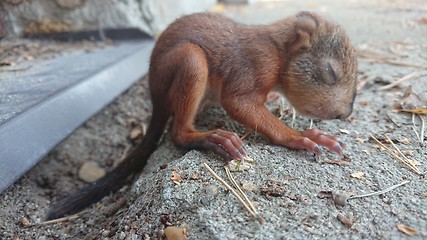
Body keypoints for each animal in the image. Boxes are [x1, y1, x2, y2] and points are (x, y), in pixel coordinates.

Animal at [46, 11, 360, 219]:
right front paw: (303, 136)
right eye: (329, 72)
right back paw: (212, 138)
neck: (278, 49)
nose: (345, 113)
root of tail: (155, 98)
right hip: (190, 62)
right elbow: (239, 103)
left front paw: (275, 101)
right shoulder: (256, 63)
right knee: (179, 132)